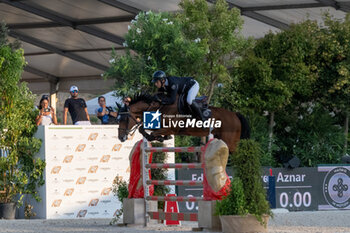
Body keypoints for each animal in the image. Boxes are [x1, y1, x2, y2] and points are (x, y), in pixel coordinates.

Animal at [119, 93, 250, 153]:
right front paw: (161, 138)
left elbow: (152, 132)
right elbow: (142, 129)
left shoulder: (170, 128)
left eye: (124, 119)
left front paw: (159, 138)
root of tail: (235, 114)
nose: (120, 137)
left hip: (231, 143)